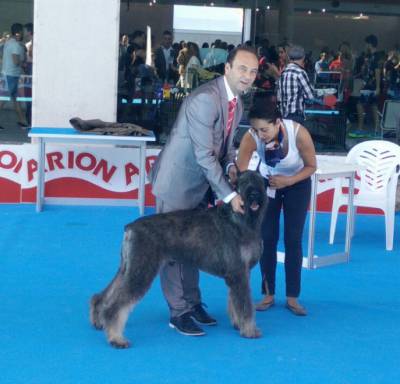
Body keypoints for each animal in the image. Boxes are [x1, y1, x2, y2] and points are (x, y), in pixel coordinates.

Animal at [89, 171, 268, 348]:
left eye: (259, 181)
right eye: (243, 182)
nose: (254, 194)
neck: (240, 219)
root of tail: (130, 228)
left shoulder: (239, 274)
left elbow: (235, 301)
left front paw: (237, 324)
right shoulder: (238, 274)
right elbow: (245, 305)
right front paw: (250, 330)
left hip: (128, 268)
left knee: (106, 294)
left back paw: (99, 318)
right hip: (141, 271)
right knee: (116, 305)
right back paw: (116, 338)